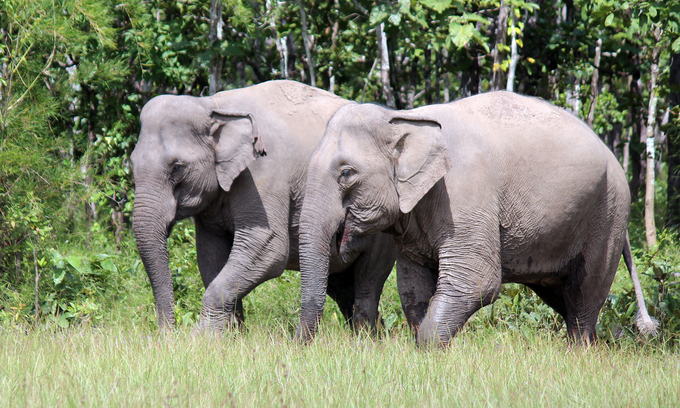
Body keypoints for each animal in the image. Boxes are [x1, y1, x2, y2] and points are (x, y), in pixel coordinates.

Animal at [130, 79, 396, 332]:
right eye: (131, 163)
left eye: (176, 167)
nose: (167, 335)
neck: (213, 105)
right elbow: (210, 256)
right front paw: (229, 337)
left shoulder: (264, 173)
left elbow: (268, 247)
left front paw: (202, 338)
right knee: (342, 288)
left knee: (368, 281)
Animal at [298, 91, 660, 346]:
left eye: (347, 173)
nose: (301, 346)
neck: (405, 118)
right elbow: (413, 286)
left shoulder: (466, 195)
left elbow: (477, 281)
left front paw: (427, 352)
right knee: (564, 297)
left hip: (607, 215)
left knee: (584, 296)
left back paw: (579, 353)